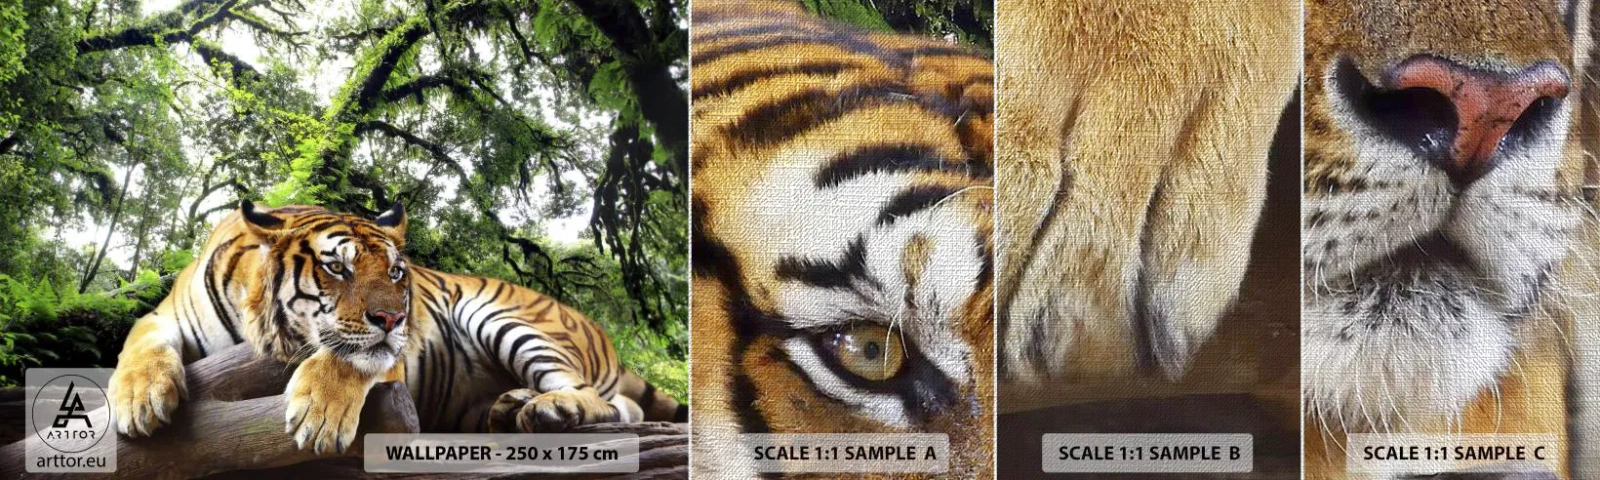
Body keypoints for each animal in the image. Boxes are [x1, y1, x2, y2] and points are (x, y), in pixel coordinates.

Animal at [107, 201, 684, 453]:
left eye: (395, 272)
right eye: (337, 267)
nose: (394, 317)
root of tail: (600, 331)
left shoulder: (389, 352)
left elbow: (349, 357)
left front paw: (318, 416)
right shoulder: (163, 316)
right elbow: (138, 344)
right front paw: (139, 400)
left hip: (505, 318)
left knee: (601, 400)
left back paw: (548, 408)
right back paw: (511, 406)